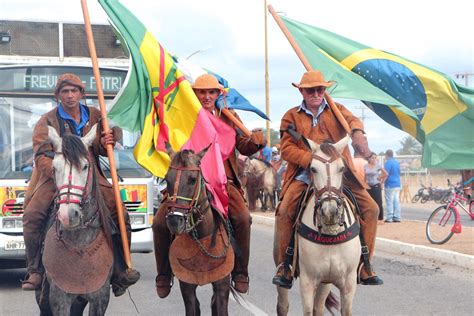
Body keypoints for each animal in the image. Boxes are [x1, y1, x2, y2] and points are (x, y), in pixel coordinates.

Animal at [163, 144, 239, 314]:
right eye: (166, 179)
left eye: (192, 179)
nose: (174, 221)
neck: (203, 236)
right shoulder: (187, 287)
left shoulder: (222, 285)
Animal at [278, 137, 360, 316]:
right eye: (313, 169)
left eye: (342, 168)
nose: (330, 211)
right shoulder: (307, 282)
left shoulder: (348, 284)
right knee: (283, 305)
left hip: (325, 282)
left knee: (319, 307)